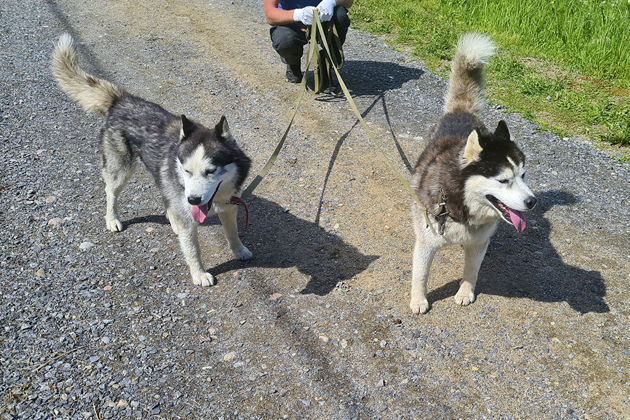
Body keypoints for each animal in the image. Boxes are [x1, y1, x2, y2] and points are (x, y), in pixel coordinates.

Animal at [51, 34, 253, 288]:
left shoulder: (228, 206)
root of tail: (122, 99)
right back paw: (112, 218)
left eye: (211, 171)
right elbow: (193, 249)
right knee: (110, 192)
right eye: (187, 171)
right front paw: (198, 273)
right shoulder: (188, 211)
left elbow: (233, 232)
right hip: (120, 170)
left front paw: (239, 250)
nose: (193, 199)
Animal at [410, 34, 540, 314]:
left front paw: (465, 292)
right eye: (504, 180)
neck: (460, 204)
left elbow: (472, 269)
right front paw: (418, 299)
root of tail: (462, 111)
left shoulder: (479, 243)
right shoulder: (426, 241)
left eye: (524, 175)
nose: (532, 202)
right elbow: (420, 274)